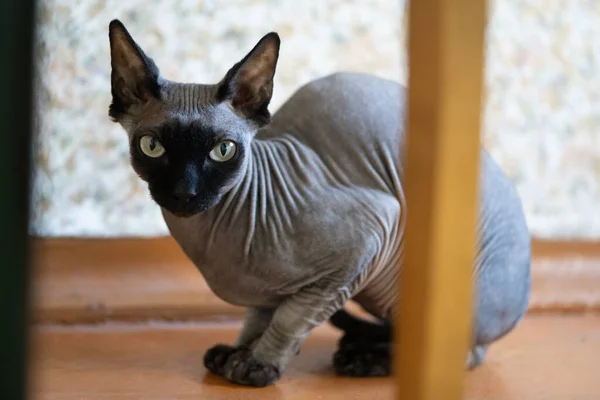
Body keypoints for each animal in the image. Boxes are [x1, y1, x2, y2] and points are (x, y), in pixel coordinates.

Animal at [106, 19, 528, 388]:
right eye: (152, 147)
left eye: (222, 150)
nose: (185, 191)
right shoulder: (288, 285)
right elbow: (259, 314)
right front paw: (240, 349)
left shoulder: (369, 239)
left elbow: (291, 318)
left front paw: (259, 362)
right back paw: (364, 343)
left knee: (464, 353)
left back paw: (367, 359)